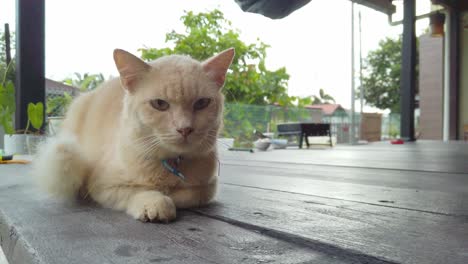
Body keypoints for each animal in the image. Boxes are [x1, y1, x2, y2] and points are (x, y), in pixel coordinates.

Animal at [33, 48, 234, 223]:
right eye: (159, 104)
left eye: (202, 103)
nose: (185, 129)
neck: (170, 163)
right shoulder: (102, 186)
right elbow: (137, 191)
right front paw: (157, 202)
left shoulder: (208, 187)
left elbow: (188, 194)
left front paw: (169, 195)